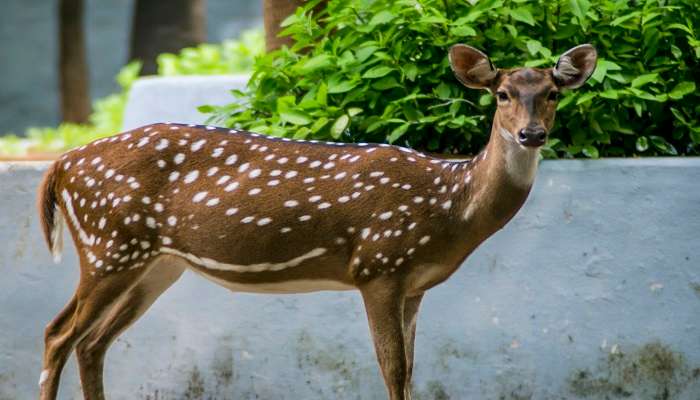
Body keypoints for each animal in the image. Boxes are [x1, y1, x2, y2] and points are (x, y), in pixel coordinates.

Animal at [38, 43, 596, 400]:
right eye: (502, 94)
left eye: (552, 92)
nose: (531, 134)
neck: (448, 204)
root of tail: (61, 165)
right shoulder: (378, 265)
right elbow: (392, 370)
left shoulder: (414, 285)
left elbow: (411, 371)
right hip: (109, 245)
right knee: (58, 334)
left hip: (156, 265)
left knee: (92, 344)